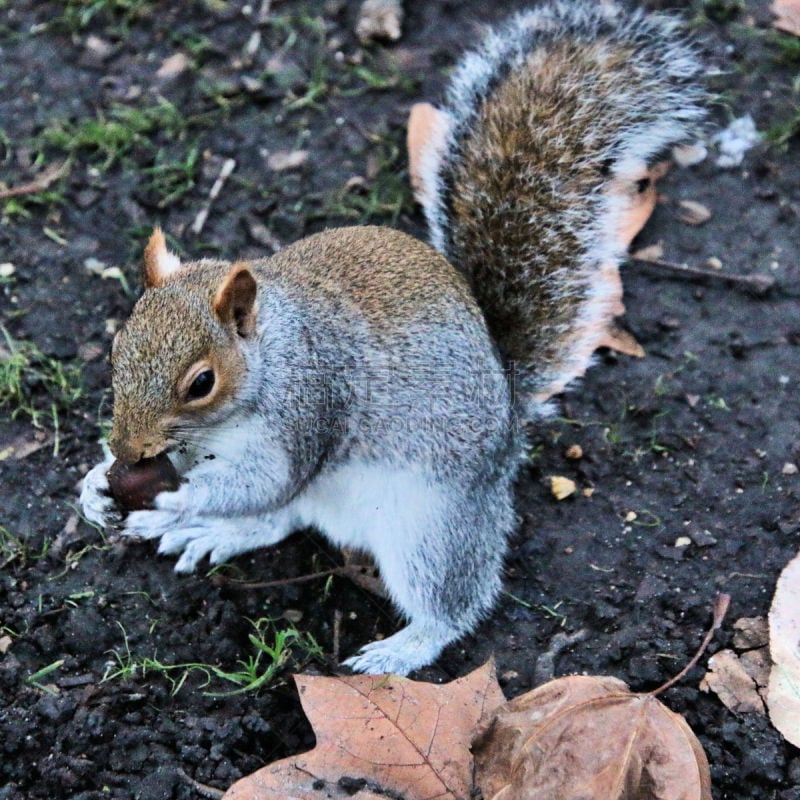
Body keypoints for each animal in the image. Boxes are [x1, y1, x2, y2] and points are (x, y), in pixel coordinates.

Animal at [81, 1, 708, 676]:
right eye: (117, 350)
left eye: (201, 383)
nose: (126, 448)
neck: (272, 358)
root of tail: (507, 420)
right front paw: (95, 486)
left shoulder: (308, 410)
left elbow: (264, 481)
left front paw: (171, 501)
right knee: (284, 516)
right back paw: (217, 531)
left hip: (430, 524)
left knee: (448, 600)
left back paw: (400, 649)